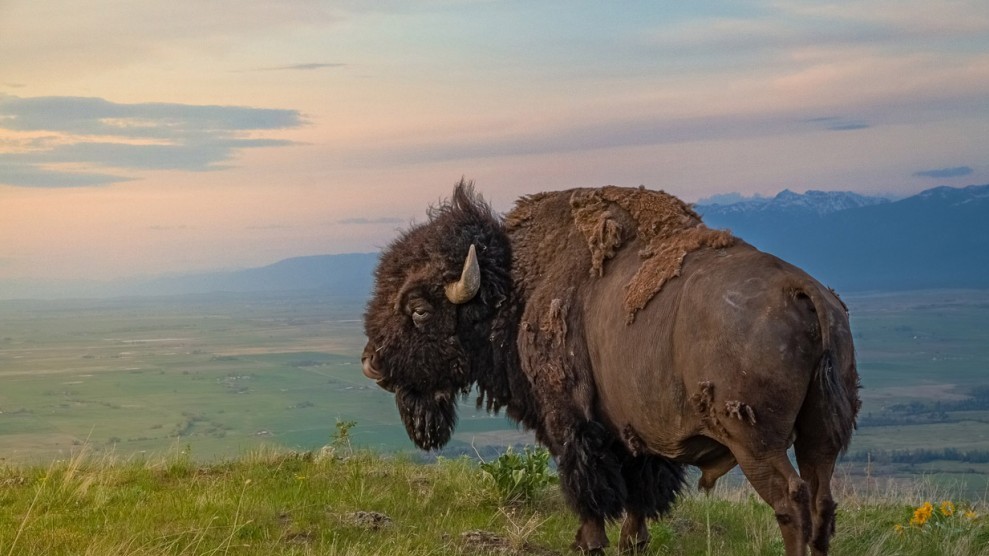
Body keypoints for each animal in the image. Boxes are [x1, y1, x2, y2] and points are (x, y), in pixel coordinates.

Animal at [361, 180, 860, 555]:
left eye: (419, 310)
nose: (371, 362)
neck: (517, 286)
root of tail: (803, 291)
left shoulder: (571, 423)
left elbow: (588, 486)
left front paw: (588, 542)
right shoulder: (640, 435)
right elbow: (640, 490)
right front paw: (632, 541)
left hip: (756, 443)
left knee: (791, 501)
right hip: (820, 438)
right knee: (822, 501)